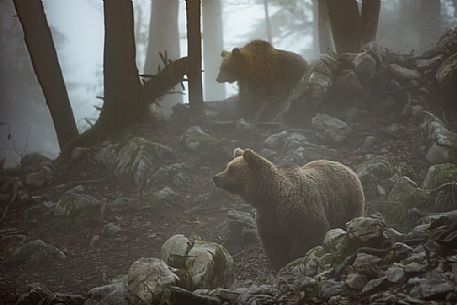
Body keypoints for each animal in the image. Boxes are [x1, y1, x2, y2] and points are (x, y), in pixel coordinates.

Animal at [212, 148, 366, 270]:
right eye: (227, 166)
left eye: (231, 169)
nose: (215, 177)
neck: (271, 197)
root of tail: (345, 166)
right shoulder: (269, 219)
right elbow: (274, 243)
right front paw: (279, 263)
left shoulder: (300, 212)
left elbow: (310, 234)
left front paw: (295, 257)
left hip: (349, 202)